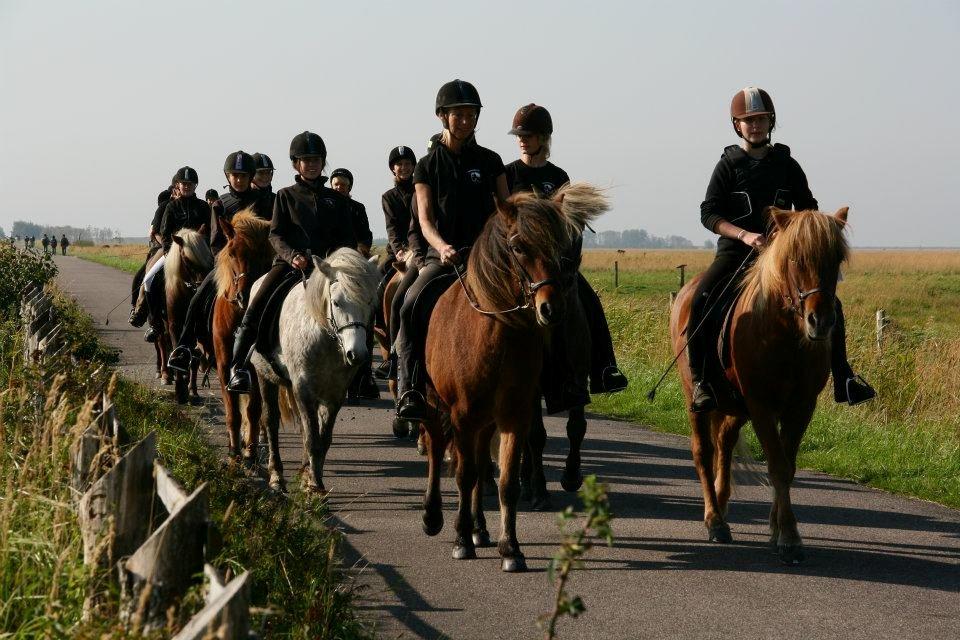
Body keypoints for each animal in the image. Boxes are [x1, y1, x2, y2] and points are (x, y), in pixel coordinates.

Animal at [165, 228, 214, 402]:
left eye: (209, 256)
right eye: (187, 259)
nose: (203, 285)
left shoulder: (193, 327)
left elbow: (193, 358)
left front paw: (191, 389)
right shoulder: (174, 325)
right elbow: (176, 348)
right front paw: (180, 390)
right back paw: (165, 375)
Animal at [212, 212, 276, 462]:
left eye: (263, 253)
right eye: (231, 253)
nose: (243, 296)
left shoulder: (256, 369)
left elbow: (253, 409)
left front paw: (250, 449)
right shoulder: (224, 365)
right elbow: (233, 411)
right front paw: (234, 451)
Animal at [253, 248, 380, 492]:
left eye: (370, 301)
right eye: (337, 303)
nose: (357, 354)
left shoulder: (334, 394)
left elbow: (323, 439)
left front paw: (313, 479)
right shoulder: (304, 389)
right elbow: (312, 439)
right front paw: (314, 485)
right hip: (265, 377)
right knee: (271, 421)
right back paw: (276, 475)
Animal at [422, 182, 608, 572]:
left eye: (565, 246)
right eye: (519, 246)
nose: (551, 309)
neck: (498, 330)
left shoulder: (514, 413)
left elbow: (505, 481)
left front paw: (511, 548)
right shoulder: (462, 415)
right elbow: (464, 475)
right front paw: (461, 541)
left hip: (487, 420)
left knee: (481, 464)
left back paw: (480, 529)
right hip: (434, 404)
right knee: (436, 447)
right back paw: (434, 517)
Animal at [668, 206, 848, 564]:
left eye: (836, 258)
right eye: (795, 258)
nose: (820, 322)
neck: (785, 334)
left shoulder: (800, 407)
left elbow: (787, 468)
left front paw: (779, 530)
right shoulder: (762, 406)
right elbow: (777, 466)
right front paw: (789, 538)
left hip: (736, 406)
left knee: (723, 443)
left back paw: (722, 506)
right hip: (697, 399)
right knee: (703, 451)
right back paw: (714, 521)